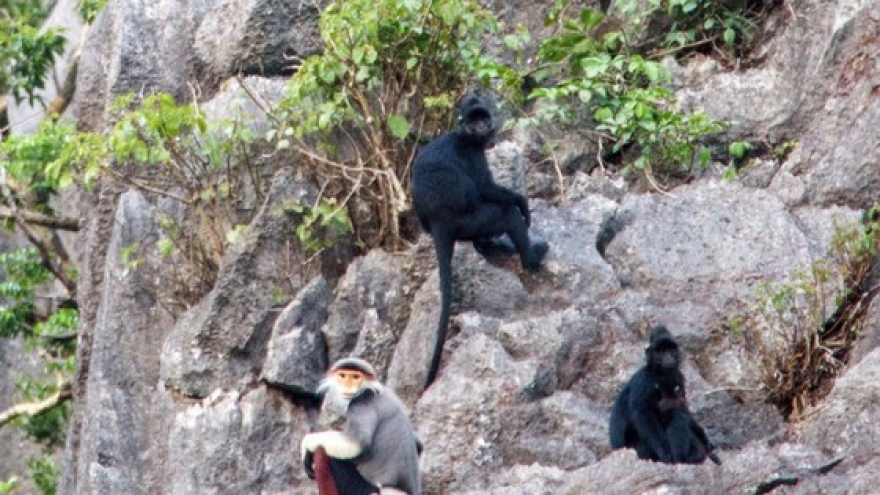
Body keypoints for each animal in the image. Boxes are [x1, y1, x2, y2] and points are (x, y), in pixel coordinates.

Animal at [302, 358, 422, 494]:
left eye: (355, 377)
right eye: (342, 376)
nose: (348, 385)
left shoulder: (360, 402)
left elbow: (357, 444)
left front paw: (306, 446)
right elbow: (419, 444)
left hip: (366, 489)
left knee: (322, 452)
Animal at [412, 91, 552, 390]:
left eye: (483, 117)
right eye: (473, 120)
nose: (483, 126)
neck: (463, 136)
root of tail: (439, 220)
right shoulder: (473, 153)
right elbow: (486, 189)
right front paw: (522, 202)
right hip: (472, 219)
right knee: (505, 213)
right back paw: (530, 257)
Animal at [604, 326, 720, 464]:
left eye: (670, 350)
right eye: (661, 352)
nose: (668, 357)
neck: (663, 375)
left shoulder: (679, 378)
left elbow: (683, 407)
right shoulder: (645, 380)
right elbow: (642, 413)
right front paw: (665, 451)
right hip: (640, 448)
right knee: (675, 415)